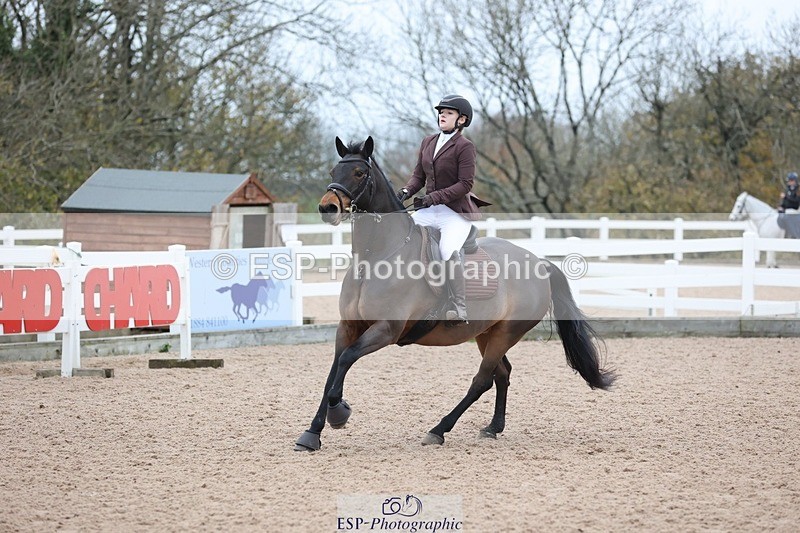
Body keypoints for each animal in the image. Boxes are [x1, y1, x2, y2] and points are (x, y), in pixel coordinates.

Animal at [293, 136, 615, 452]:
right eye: (333, 172)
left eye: (360, 173)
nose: (327, 208)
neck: (375, 259)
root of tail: (539, 262)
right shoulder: (348, 326)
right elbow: (333, 371)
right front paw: (312, 433)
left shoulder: (387, 329)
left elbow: (346, 360)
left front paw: (338, 413)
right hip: (487, 332)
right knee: (502, 374)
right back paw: (493, 428)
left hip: (506, 333)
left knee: (482, 380)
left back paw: (438, 430)